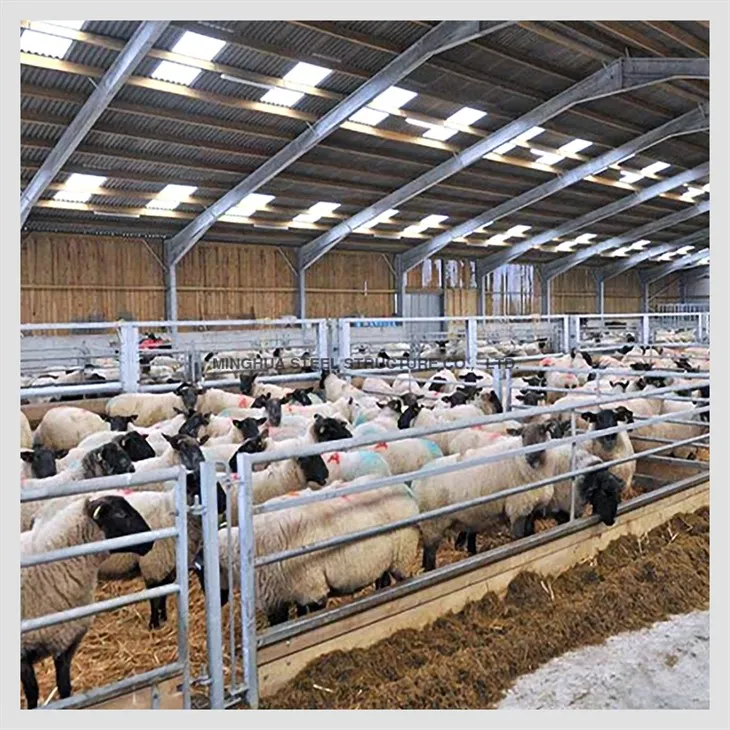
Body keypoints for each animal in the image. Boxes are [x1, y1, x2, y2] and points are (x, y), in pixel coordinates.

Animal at [21, 494, 154, 708]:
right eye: (121, 514)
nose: (151, 541)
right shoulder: (23, 652)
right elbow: (32, 693)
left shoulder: (67, 641)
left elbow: (65, 688)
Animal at [193, 479, 420, 625]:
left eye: (201, 570)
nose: (218, 602)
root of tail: (403, 489)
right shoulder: (287, 595)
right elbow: (299, 617)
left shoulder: (312, 591)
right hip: (384, 561)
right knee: (383, 580)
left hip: (403, 556)